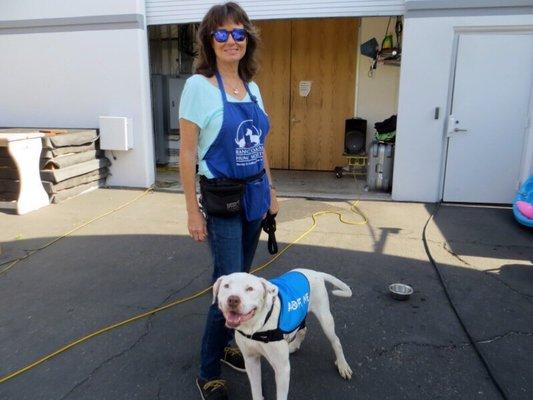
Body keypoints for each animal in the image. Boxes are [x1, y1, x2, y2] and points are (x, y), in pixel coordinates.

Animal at [212, 268, 354, 400]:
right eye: (226, 286)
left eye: (250, 289)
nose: (233, 299)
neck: (256, 326)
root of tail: (315, 272)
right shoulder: (251, 361)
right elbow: (256, 389)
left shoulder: (282, 369)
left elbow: (281, 395)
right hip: (299, 315)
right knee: (303, 329)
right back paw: (293, 346)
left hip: (325, 319)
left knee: (336, 341)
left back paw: (342, 365)